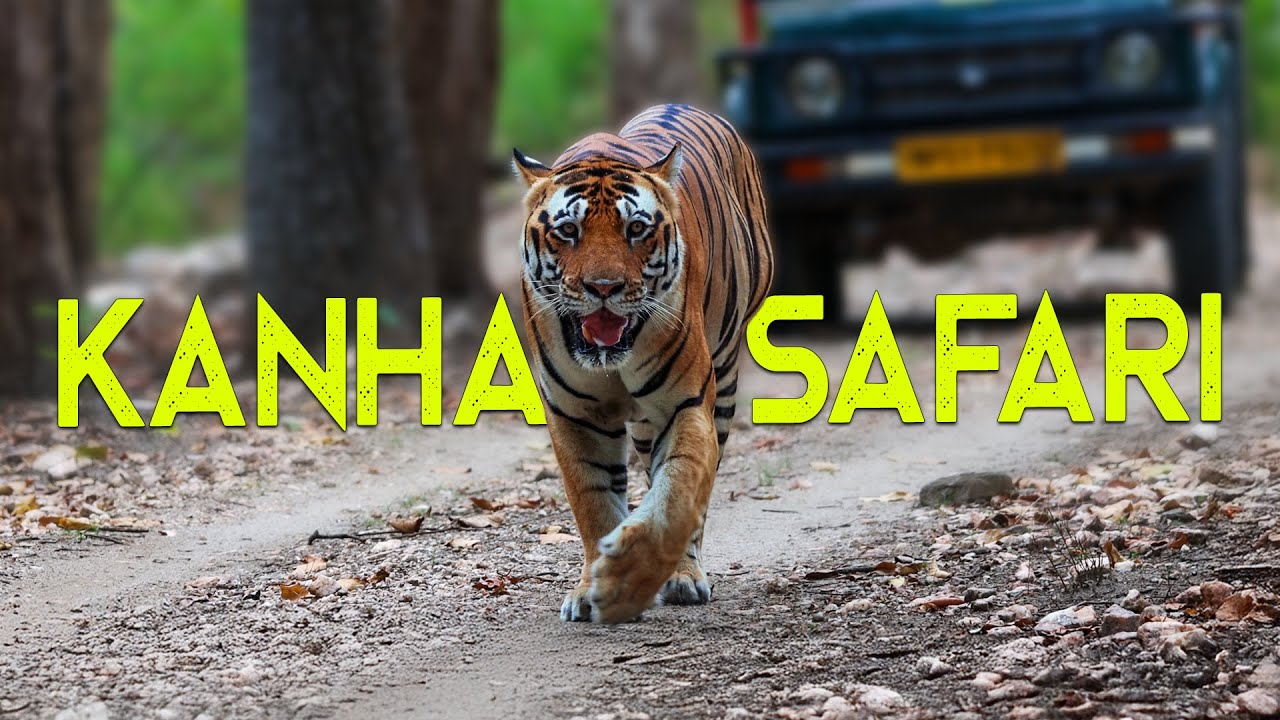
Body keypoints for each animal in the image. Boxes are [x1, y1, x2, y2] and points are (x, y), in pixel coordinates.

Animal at [512, 103, 774, 623]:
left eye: (636, 228)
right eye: (568, 231)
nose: (604, 287)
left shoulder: (686, 405)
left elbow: (675, 494)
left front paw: (627, 581)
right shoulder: (574, 415)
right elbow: (593, 502)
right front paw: (592, 587)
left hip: (724, 379)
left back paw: (684, 575)